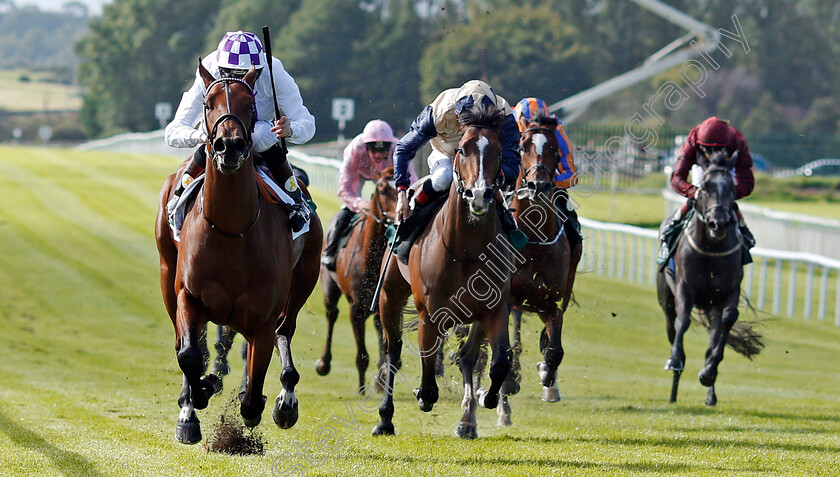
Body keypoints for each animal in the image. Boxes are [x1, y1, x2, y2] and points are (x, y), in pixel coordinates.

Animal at [153, 62, 324, 442]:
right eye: (207, 103)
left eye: (250, 105)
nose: (228, 145)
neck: (231, 232)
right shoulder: (187, 294)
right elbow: (189, 355)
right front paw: (193, 403)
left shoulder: (262, 316)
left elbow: (253, 390)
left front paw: (261, 400)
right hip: (166, 271)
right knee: (183, 342)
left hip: (305, 277)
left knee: (285, 330)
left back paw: (285, 398)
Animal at [316, 165, 398, 388]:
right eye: (381, 189)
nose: (398, 217)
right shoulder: (356, 309)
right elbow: (362, 357)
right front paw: (361, 390)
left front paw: (382, 377)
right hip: (329, 287)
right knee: (332, 314)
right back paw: (323, 363)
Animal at [374, 105, 512, 438]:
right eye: (462, 149)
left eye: (499, 151)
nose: (479, 195)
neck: (467, 251)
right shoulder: (431, 312)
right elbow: (426, 367)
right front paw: (422, 394)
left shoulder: (495, 308)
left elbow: (499, 362)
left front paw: (487, 398)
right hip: (390, 295)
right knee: (393, 350)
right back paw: (385, 418)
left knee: (469, 356)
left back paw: (468, 420)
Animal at [660, 149, 764, 406]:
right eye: (705, 187)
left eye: (732, 188)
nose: (718, 223)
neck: (711, 248)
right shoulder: (685, 288)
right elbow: (683, 321)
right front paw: (674, 360)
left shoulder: (727, 293)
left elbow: (723, 327)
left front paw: (708, 372)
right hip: (666, 301)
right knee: (672, 327)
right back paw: (673, 392)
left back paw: (710, 393)